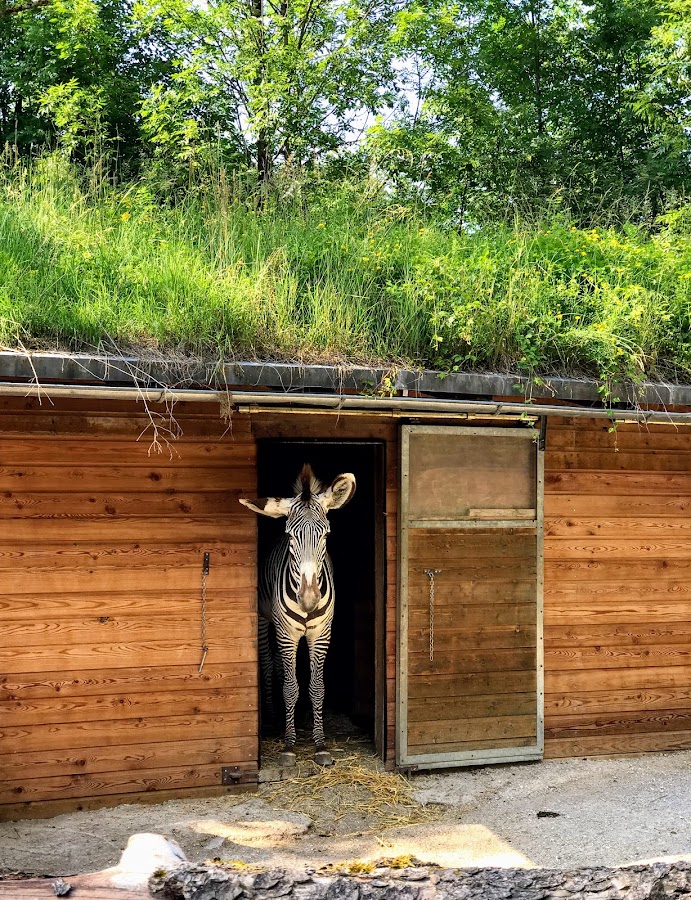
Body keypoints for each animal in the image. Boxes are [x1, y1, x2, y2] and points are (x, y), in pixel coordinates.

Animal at [239, 464, 356, 768]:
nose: (309, 600)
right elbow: (291, 687)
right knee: (269, 664)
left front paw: (320, 745)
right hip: (266, 621)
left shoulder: (321, 633)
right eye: (291, 537)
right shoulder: (287, 633)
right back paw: (272, 720)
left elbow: (317, 687)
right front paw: (289, 746)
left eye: (326, 535)